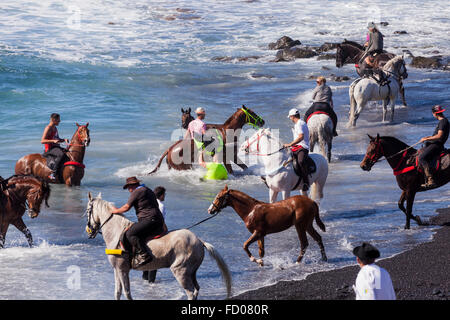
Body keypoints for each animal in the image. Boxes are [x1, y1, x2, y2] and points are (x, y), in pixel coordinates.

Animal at [85, 192, 232, 300]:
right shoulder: (117, 269)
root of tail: (199, 240)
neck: (115, 232)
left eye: (87, 211)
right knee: (196, 290)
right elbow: (118, 292)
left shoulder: (122, 269)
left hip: (181, 271)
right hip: (192, 272)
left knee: (191, 293)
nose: (90, 230)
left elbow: (127, 292)